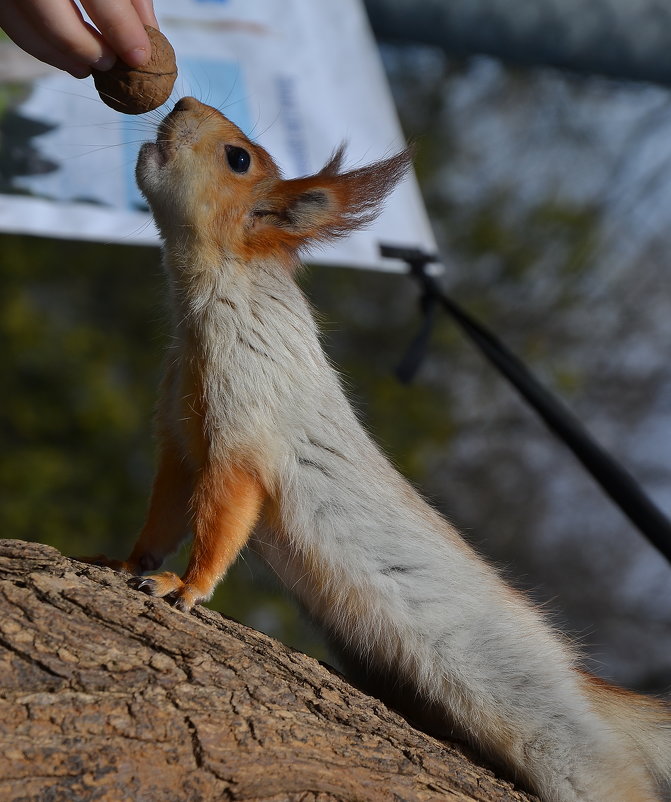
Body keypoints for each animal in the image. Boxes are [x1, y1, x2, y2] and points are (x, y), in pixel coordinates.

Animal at [89, 97, 671, 796]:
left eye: (238, 158)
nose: (179, 103)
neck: (214, 296)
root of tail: (586, 692)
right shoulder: (181, 439)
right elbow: (167, 512)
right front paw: (128, 561)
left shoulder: (246, 423)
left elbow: (223, 515)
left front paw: (185, 586)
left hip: (559, 741)